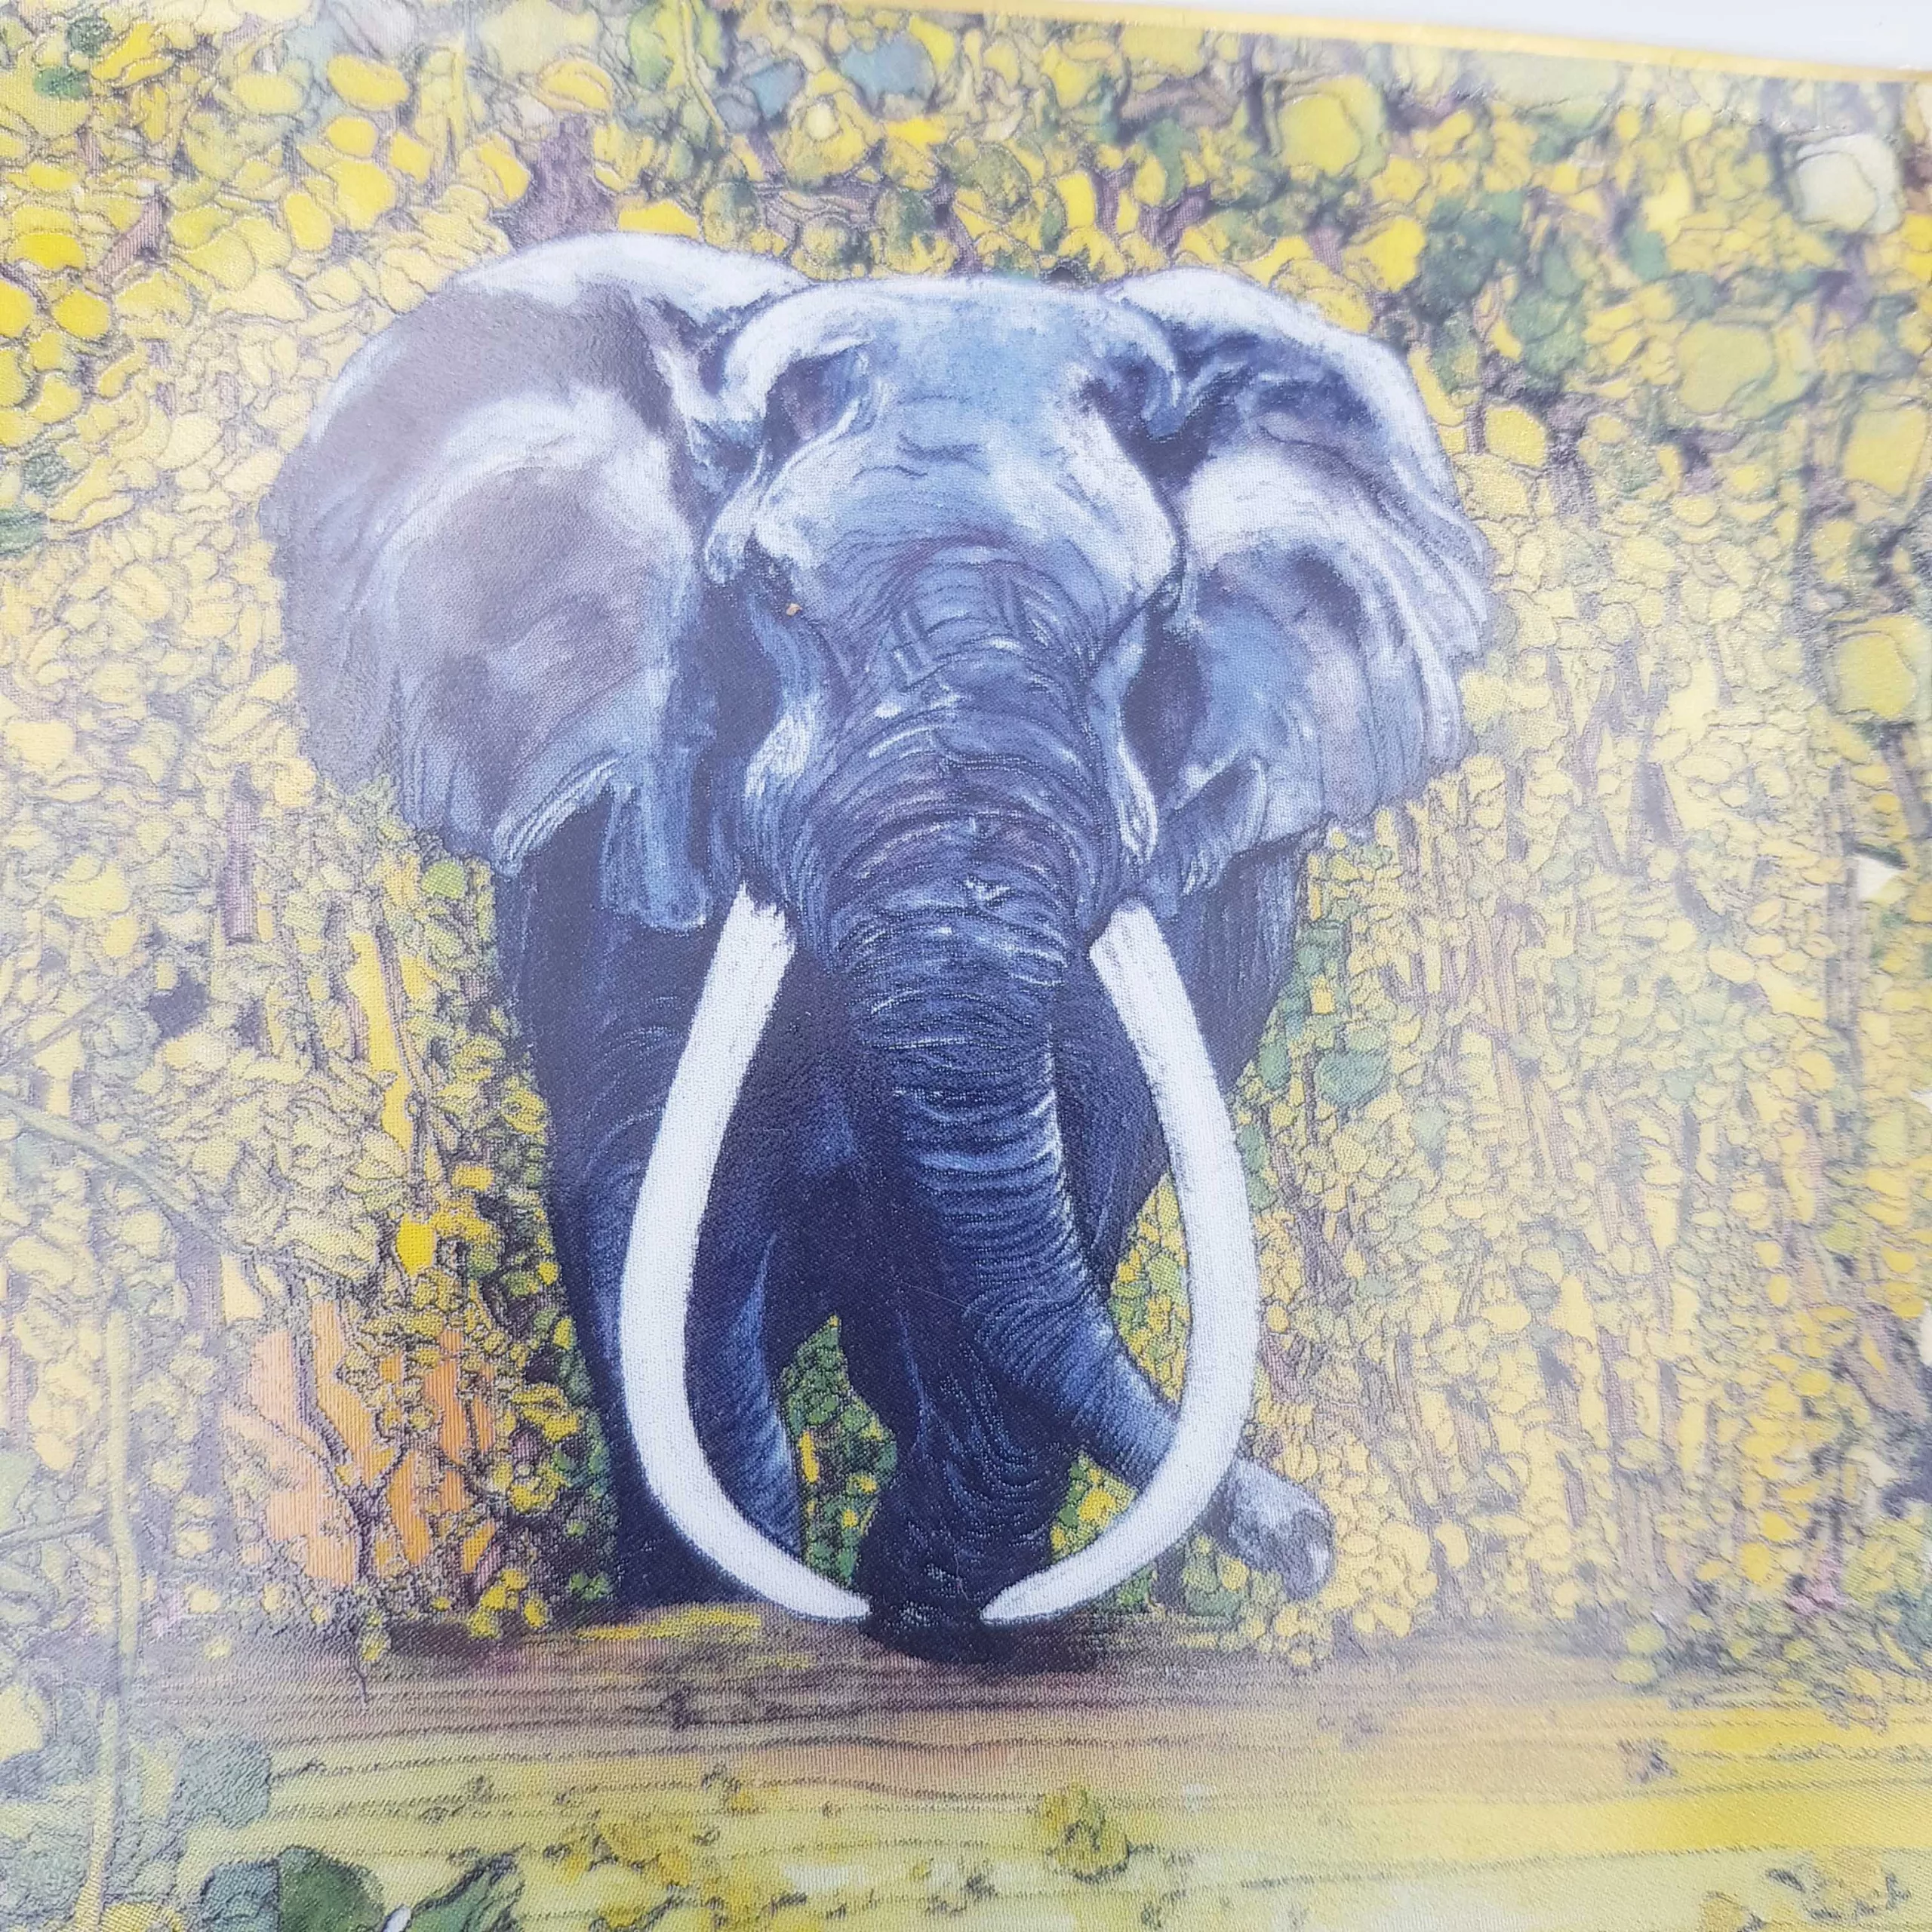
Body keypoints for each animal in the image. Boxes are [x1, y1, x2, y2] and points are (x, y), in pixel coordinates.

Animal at [265, 235, 1492, 1659]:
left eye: (1149, 611)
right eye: (774, 596)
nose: (1313, 1542)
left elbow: (1043, 1215)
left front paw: (933, 1609)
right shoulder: (633, 860)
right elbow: (675, 1232)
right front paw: (743, 1610)